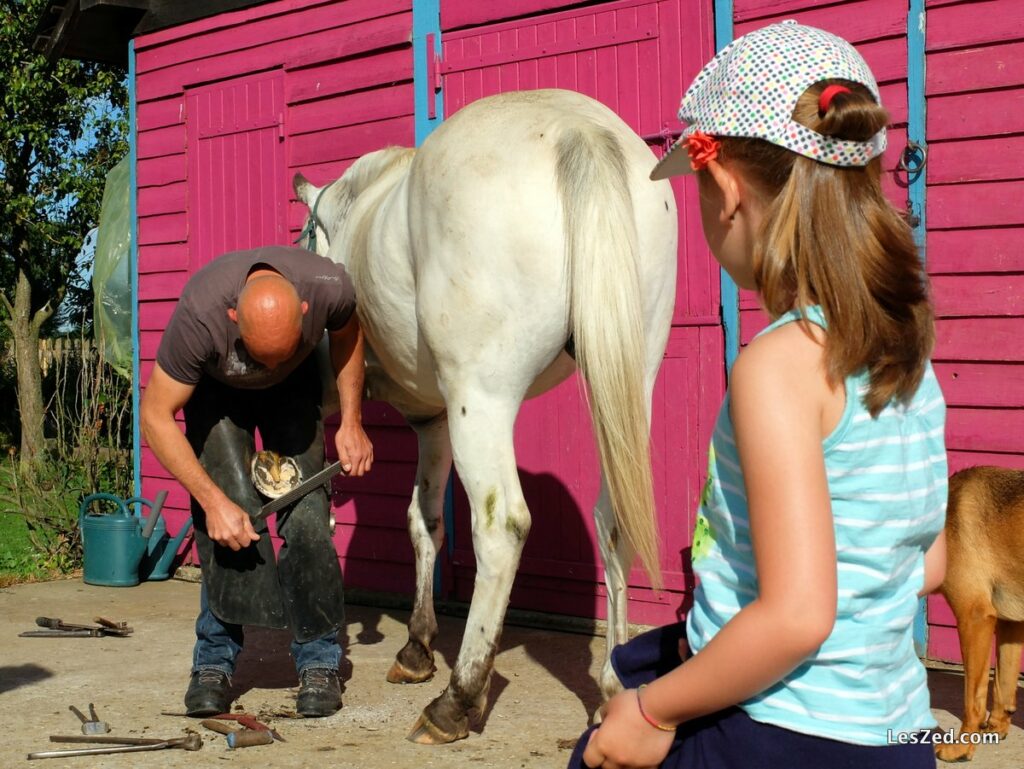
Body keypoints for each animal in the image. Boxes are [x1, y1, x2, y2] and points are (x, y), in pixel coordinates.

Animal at [294, 87, 679, 741]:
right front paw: (417, 647)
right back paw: (611, 686)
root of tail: (577, 130)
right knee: (615, 520)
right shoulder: (433, 424)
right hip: (632, 384)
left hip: (485, 398)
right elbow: (424, 521)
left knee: (502, 527)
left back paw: (457, 699)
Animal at [937, 466, 1019, 761]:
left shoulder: (974, 617)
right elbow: (1003, 683)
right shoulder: (1009, 624)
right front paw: (996, 727)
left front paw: (961, 747)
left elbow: (973, 698)